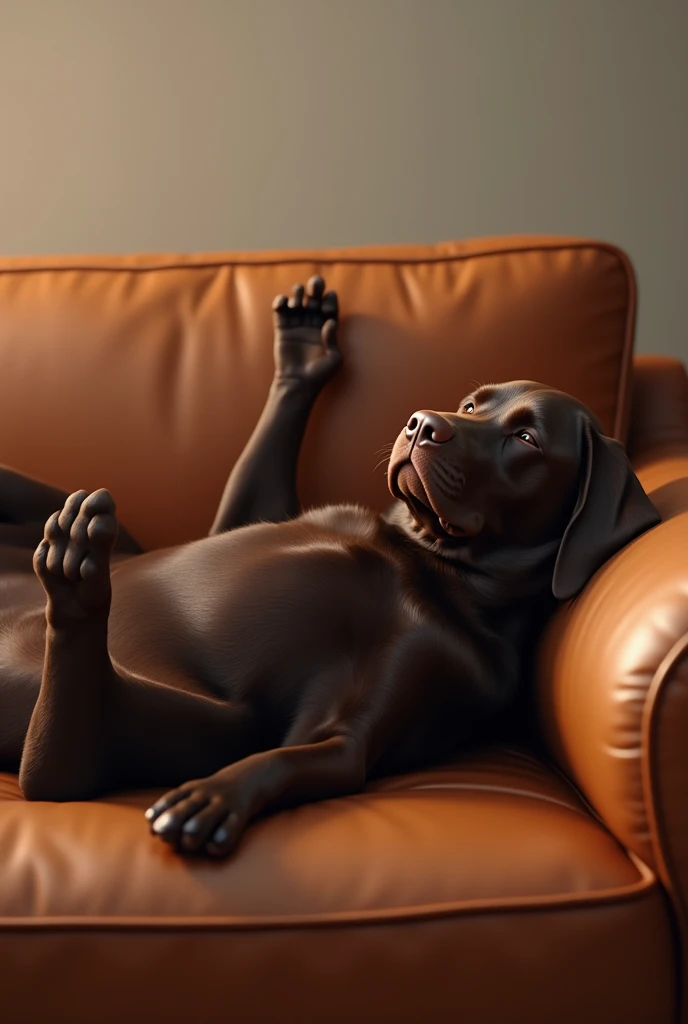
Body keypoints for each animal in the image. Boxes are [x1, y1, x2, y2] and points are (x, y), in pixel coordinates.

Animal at [0, 274, 659, 856]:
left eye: (525, 439)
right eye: (473, 404)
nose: (422, 423)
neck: (430, 562)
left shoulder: (411, 670)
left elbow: (329, 749)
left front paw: (220, 792)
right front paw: (304, 354)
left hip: (193, 715)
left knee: (70, 761)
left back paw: (75, 579)